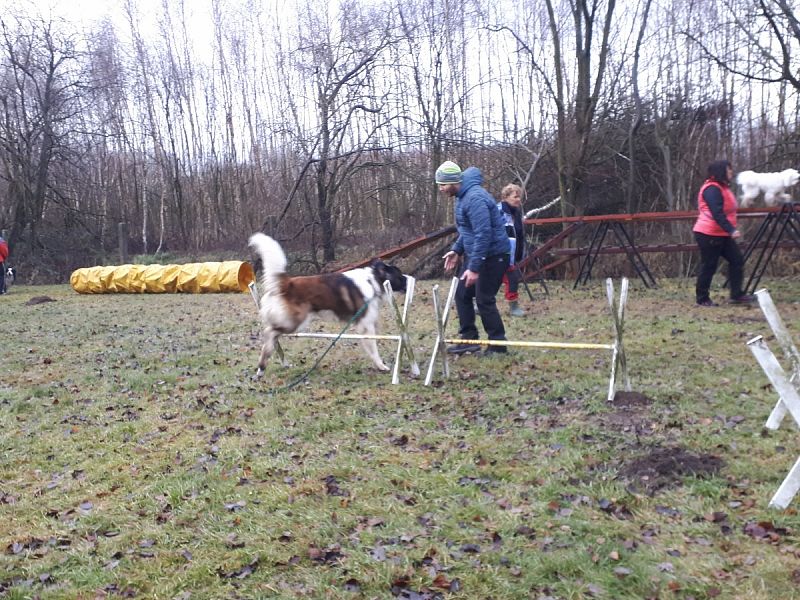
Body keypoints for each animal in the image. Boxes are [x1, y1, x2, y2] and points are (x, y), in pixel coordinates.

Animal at [248, 233, 410, 378]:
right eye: (399, 275)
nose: (410, 279)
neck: (373, 281)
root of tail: (287, 283)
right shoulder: (366, 325)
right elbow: (373, 348)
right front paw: (381, 365)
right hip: (294, 322)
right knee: (269, 332)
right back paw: (262, 365)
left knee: (271, 336)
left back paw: (261, 369)